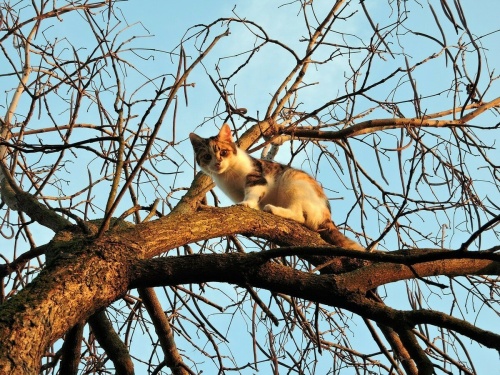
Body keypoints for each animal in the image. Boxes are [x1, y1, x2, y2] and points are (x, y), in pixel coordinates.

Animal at [189, 124, 366, 253]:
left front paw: (247, 204)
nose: (218, 163)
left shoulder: (256, 177)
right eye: (207, 157)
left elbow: (252, 192)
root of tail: (327, 216)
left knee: (299, 216)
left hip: (292, 181)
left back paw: (273, 209)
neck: (228, 175)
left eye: (224, 152)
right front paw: (252, 205)